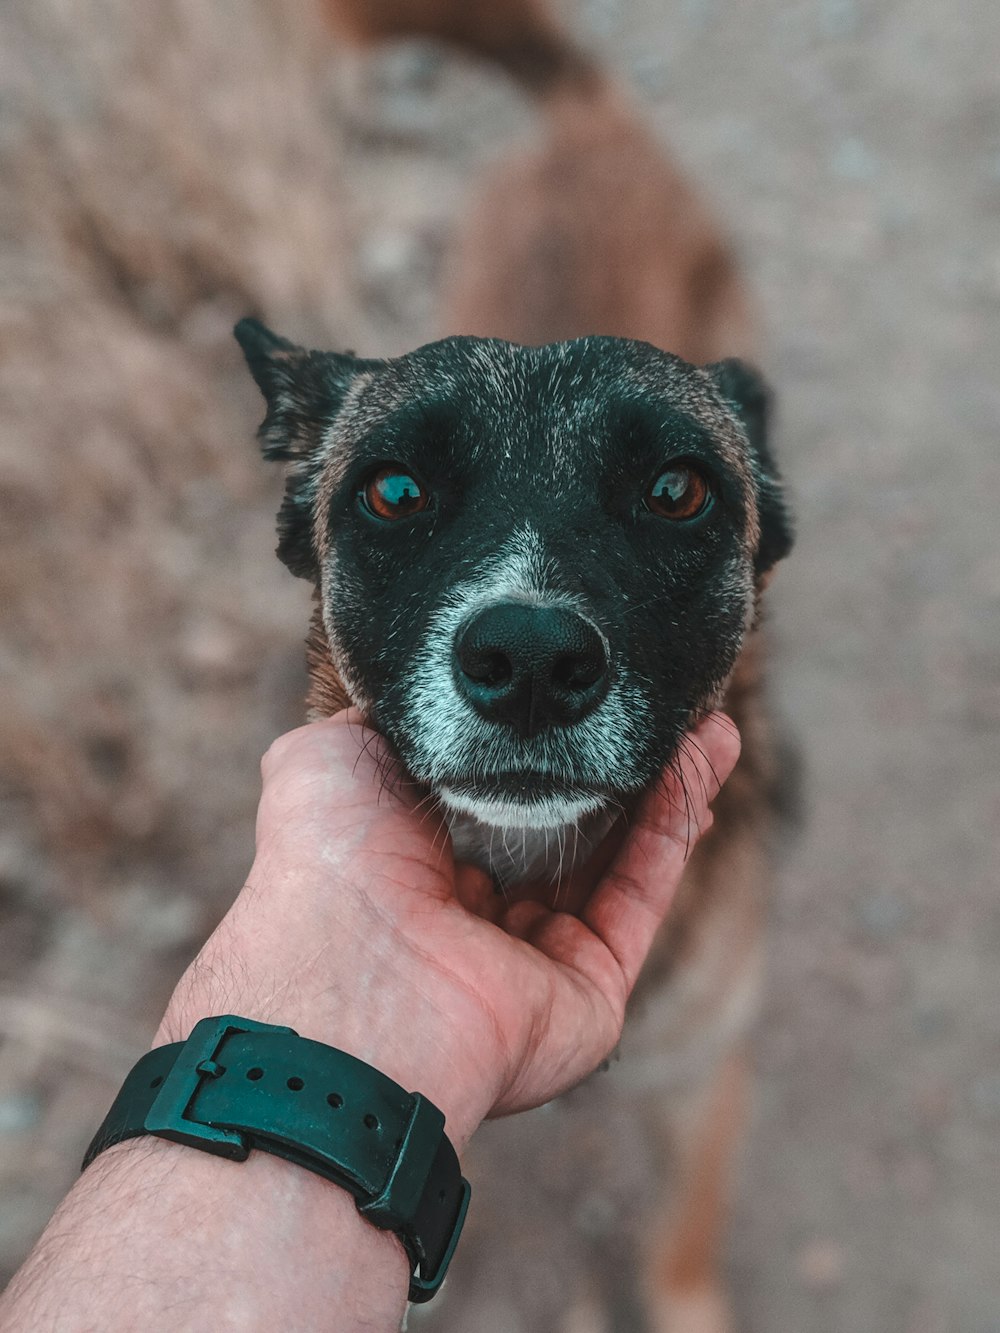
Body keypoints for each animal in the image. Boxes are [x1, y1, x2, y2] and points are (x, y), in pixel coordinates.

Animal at [233, 5, 789, 1327]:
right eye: (393, 491)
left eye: (677, 489)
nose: (529, 658)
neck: (541, 873)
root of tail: (591, 117)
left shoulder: (703, 1078)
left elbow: (680, 1241)